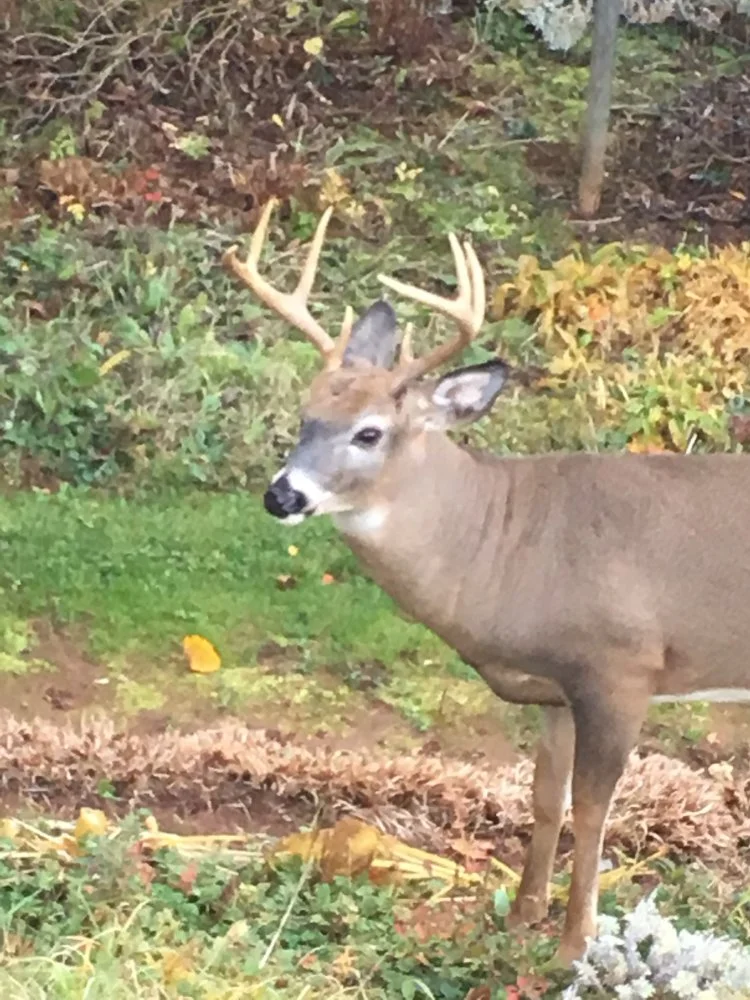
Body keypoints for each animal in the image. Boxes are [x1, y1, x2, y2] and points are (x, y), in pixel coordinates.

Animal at [223, 201, 750, 964]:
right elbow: (545, 795)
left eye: (369, 433)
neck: (508, 549)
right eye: (305, 414)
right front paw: (522, 918)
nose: (281, 495)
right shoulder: (556, 688)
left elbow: (596, 810)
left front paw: (573, 947)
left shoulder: (622, 666)